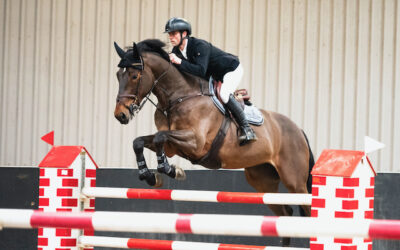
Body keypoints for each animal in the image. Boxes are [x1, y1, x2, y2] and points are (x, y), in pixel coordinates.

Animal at [113, 39, 316, 246]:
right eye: (117, 76)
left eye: (135, 76)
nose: (120, 115)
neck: (178, 97)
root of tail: (298, 130)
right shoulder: (171, 146)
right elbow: (140, 142)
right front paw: (150, 176)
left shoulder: (196, 142)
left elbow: (160, 138)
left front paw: (170, 170)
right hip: (262, 181)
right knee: (285, 213)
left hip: (294, 182)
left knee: (307, 210)